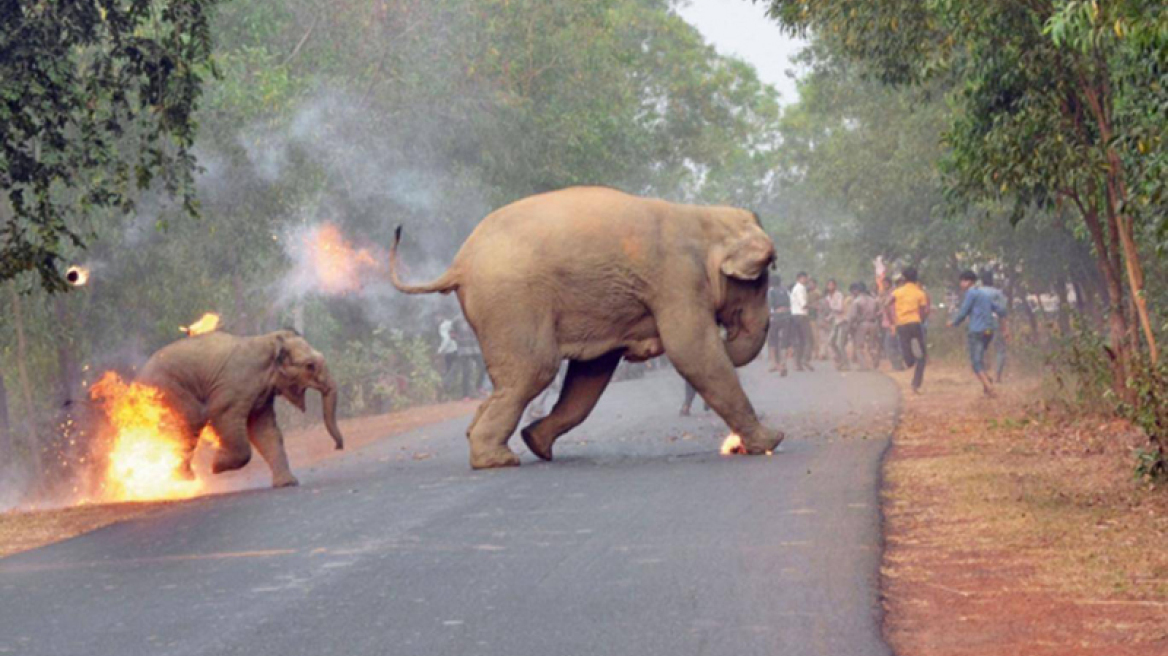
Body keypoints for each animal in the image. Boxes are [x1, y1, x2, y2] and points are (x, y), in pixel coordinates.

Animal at [137, 329, 343, 483]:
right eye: (310, 366)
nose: (337, 447)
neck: (269, 341)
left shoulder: (262, 396)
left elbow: (265, 430)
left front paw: (288, 483)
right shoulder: (234, 386)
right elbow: (221, 415)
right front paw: (216, 466)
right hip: (169, 390)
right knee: (191, 421)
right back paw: (183, 480)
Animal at [387, 186, 780, 466]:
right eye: (761, 282)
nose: (728, 333)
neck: (704, 216)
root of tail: (459, 263)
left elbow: (592, 373)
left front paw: (537, 442)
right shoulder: (677, 279)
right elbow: (693, 350)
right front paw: (771, 441)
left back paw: (508, 446)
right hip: (512, 300)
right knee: (535, 370)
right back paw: (497, 461)